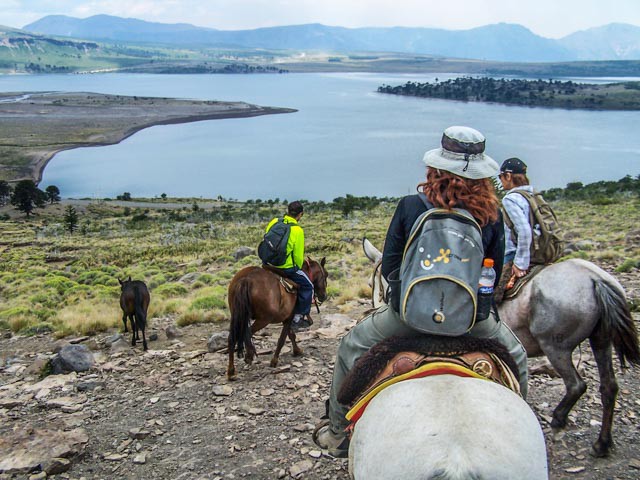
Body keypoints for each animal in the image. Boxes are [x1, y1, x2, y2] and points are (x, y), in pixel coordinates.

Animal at [362, 238, 636, 456]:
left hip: (556, 347)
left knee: (577, 384)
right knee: (609, 386)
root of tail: (594, 278)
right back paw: (602, 444)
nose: (375, 308)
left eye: (371, 284)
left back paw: (559, 420)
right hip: (600, 341)